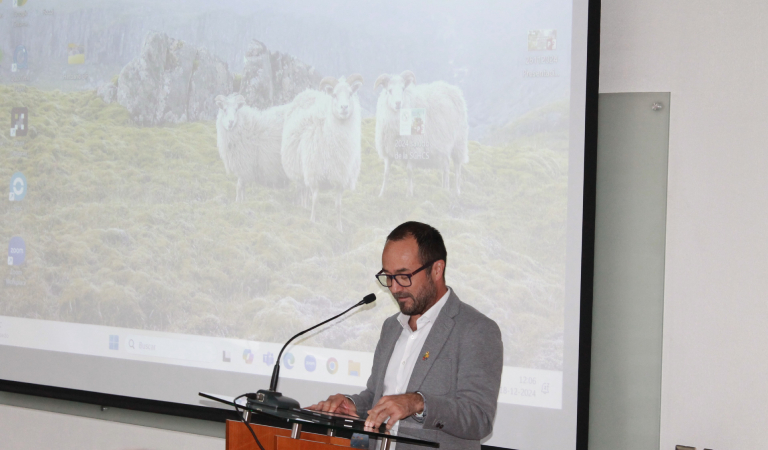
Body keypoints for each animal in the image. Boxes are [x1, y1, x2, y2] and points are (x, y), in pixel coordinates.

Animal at [280, 74, 364, 232]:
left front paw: (339, 228)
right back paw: (303, 207)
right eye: (335, 95)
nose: (344, 107)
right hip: (301, 171)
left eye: (350, 93)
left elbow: (338, 206)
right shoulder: (314, 175)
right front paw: (312, 221)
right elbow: (315, 200)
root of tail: (308, 92)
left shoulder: (340, 179)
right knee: (303, 191)